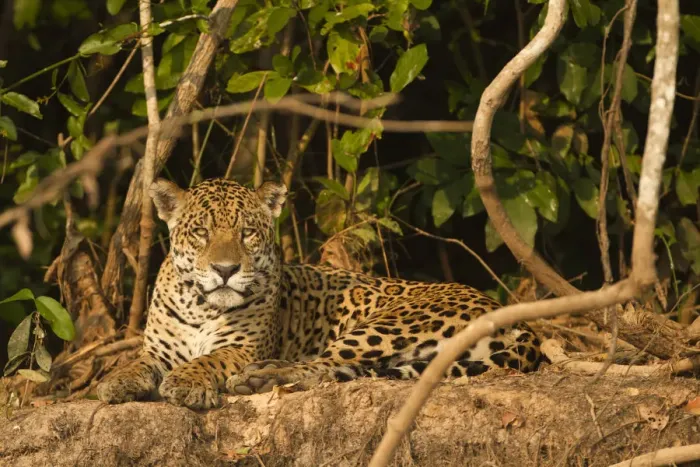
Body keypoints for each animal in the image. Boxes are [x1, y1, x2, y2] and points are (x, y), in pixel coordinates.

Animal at [96, 177, 541, 410]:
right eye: (201, 232)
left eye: (248, 233)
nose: (225, 270)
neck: (201, 306)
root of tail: (508, 312)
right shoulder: (157, 350)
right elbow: (136, 363)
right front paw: (117, 382)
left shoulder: (242, 347)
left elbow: (209, 359)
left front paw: (187, 382)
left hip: (388, 324)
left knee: (323, 366)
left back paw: (259, 377)